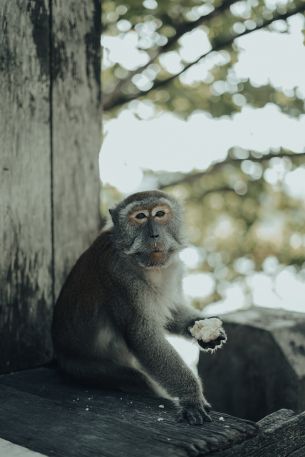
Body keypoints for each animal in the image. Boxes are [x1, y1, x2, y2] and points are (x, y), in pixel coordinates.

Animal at [51, 189, 223, 424]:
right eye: (140, 216)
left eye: (160, 214)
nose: (154, 235)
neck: (148, 267)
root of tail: (61, 356)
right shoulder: (120, 277)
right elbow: (142, 336)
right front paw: (191, 396)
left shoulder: (172, 269)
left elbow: (172, 312)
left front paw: (204, 330)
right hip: (85, 369)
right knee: (136, 378)